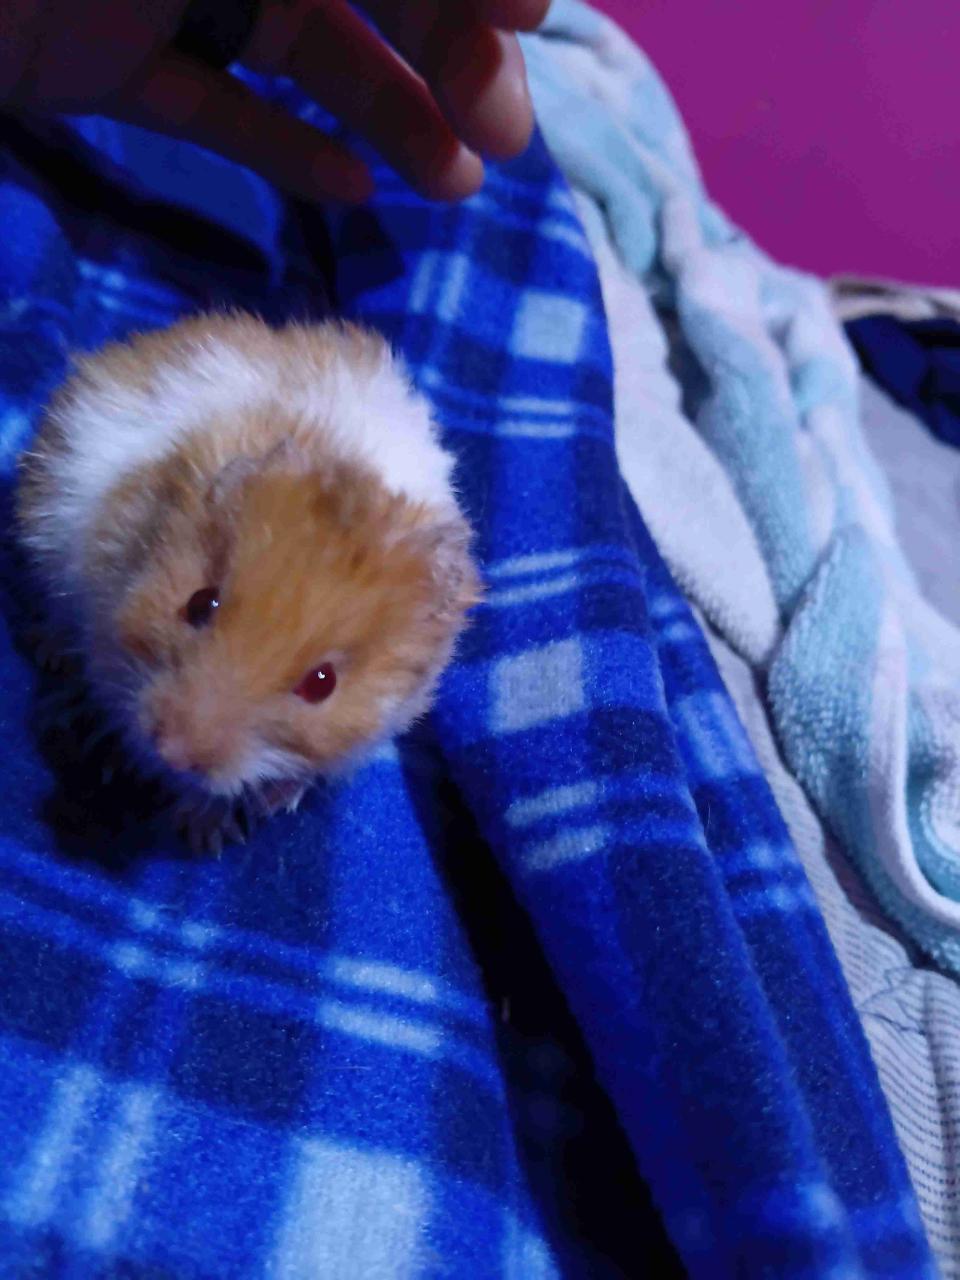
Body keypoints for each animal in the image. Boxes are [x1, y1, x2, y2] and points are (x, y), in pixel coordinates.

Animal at [17, 313, 480, 849]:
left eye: (322, 683)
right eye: (199, 603)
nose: (173, 747)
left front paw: (228, 823)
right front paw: (199, 829)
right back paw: (51, 656)